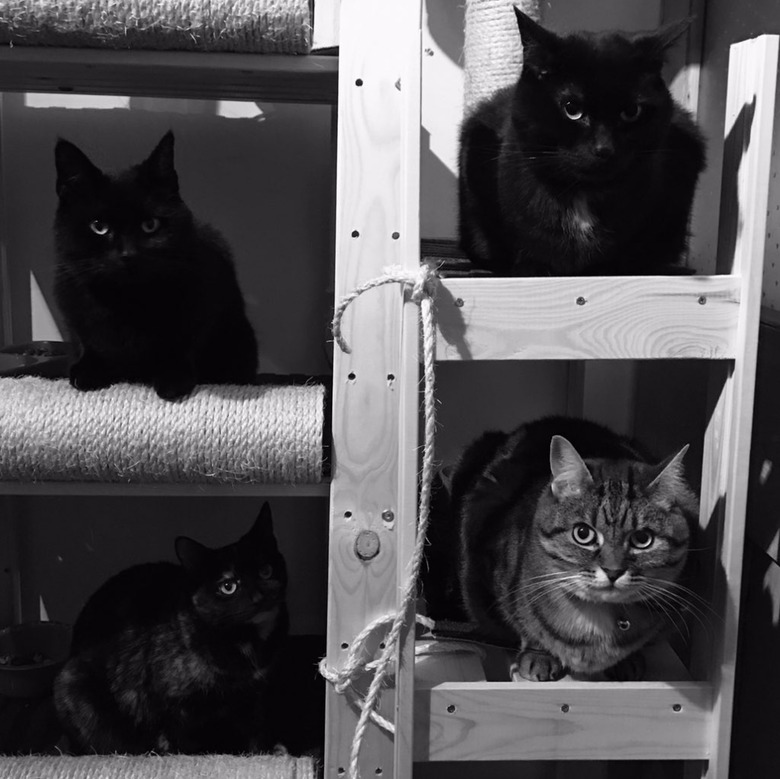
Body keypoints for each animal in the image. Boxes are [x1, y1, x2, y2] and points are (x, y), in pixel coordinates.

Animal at [52, 131, 258, 400]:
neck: (126, 302)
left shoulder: (202, 304)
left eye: (150, 225)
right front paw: (87, 371)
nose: (127, 254)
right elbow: (86, 341)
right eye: (99, 227)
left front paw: (173, 378)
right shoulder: (71, 300)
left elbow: (181, 343)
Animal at [54, 506, 290, 756]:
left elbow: (257, 730)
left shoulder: (256, 695)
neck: (248, 643)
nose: (258, 597)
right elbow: (178, 740)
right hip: (72, 683)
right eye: (228, 586)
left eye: (266, 571)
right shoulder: (172, 706)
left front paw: (263, 753)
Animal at [426, 418, 700, 680]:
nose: (613, 571)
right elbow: (525, 624)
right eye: (583, 533)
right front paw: (539, 655)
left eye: (642, 539)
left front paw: (627, 661)